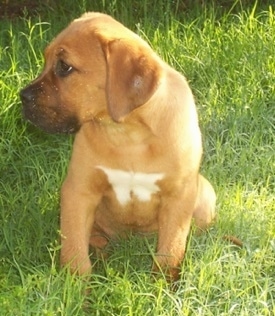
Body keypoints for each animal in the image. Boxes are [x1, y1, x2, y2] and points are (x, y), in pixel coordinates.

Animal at [20, 12, 217, 282]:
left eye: (64, 67)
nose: (22, 97)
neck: (128, 135)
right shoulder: (78, 190)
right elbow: (74, 250)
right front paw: (77, 288)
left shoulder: (178, 194)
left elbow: (171, 248)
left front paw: (163, 285)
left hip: (205, 194)